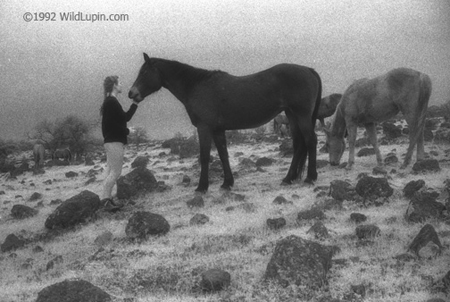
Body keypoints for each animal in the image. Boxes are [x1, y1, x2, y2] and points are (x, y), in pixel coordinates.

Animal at [128, 53, 322, 192]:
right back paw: (289, 178)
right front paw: (227, 183)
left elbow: (205, 156)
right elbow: (223, 154)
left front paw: (202, 187)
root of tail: (309, 70)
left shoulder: (204, 128)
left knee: (310, 141)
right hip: (292, 115)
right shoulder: (218, 130)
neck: (197, 86)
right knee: (299, 144)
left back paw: (310, 177)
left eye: (144, 72)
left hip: (301, 115)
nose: (131, 93)